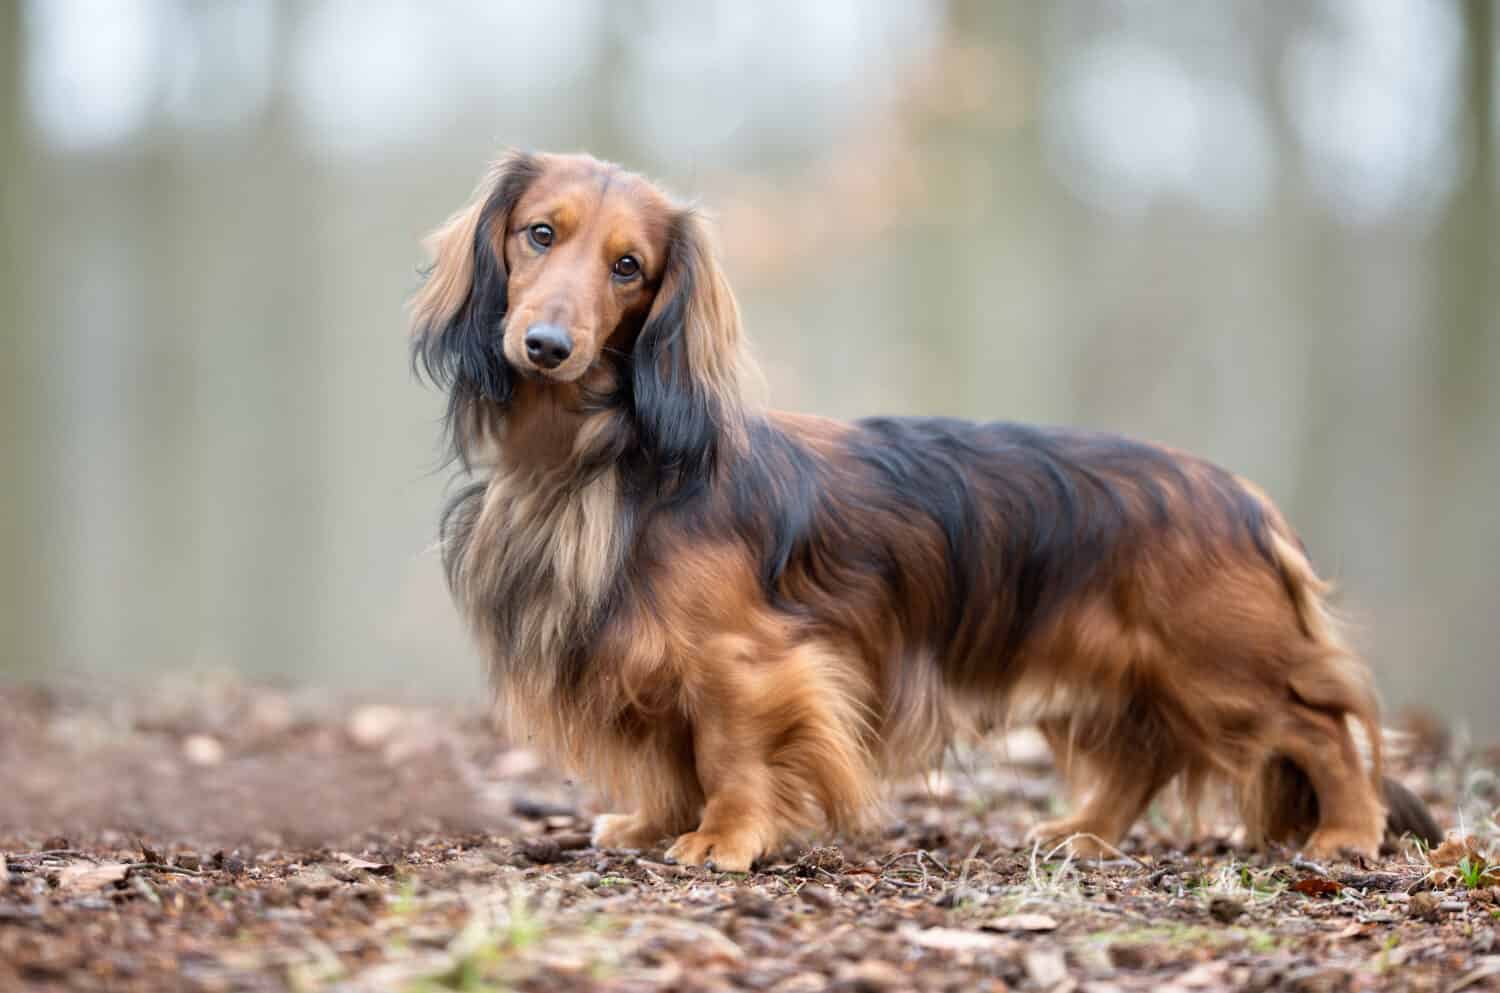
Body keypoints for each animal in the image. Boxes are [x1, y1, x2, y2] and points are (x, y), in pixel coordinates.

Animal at [411, 150, 1440, 870]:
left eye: (630, 266)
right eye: (540, 235)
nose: (547, 344)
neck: (590, 461)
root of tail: (1242, 495)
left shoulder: (747, 661)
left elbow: (728, 750)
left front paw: (724, 837)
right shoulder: (648, 656)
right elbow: (675, 754)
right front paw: (656, 820)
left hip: (1219, 663)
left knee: (1323, 728)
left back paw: (1348, 833)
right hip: (1124, 672)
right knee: (1146, 756)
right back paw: (1084, 829)